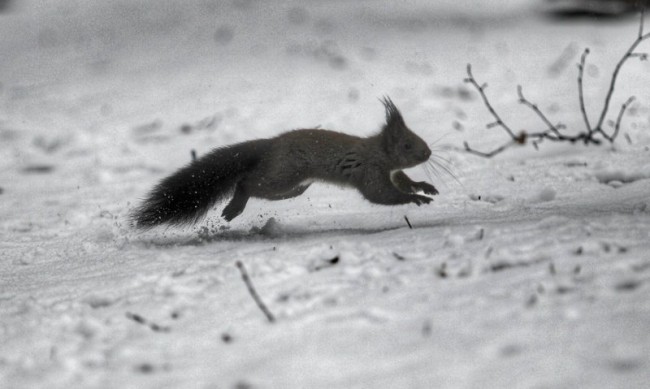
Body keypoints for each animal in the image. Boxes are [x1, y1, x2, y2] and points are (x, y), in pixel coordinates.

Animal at [130, 97, 436, 229]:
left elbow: (403, 182)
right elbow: (381, 194)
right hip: (283, 174)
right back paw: (234, 207)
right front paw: (416, 200)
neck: (377, 151)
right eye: (407, 145)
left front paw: (424, 187)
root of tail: (270, 145)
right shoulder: (370, 171)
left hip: (290, 185)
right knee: (247, 183)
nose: (429, 153)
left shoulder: (392, 171)